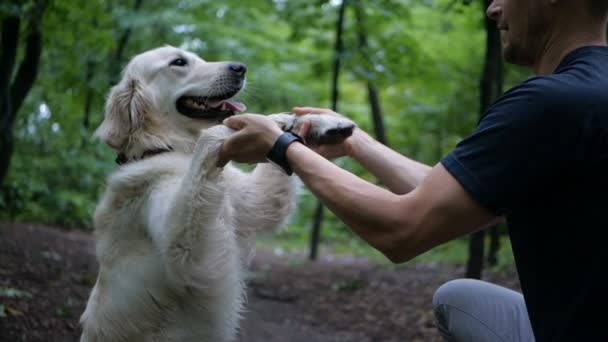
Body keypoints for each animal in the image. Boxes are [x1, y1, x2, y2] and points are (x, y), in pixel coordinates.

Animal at [80, 46, 356, 342]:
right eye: (179, 62)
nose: (240, 68)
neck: (169, 147)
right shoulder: (184, 251)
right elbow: (214, 133)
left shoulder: (255, 202)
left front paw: (318, 121)